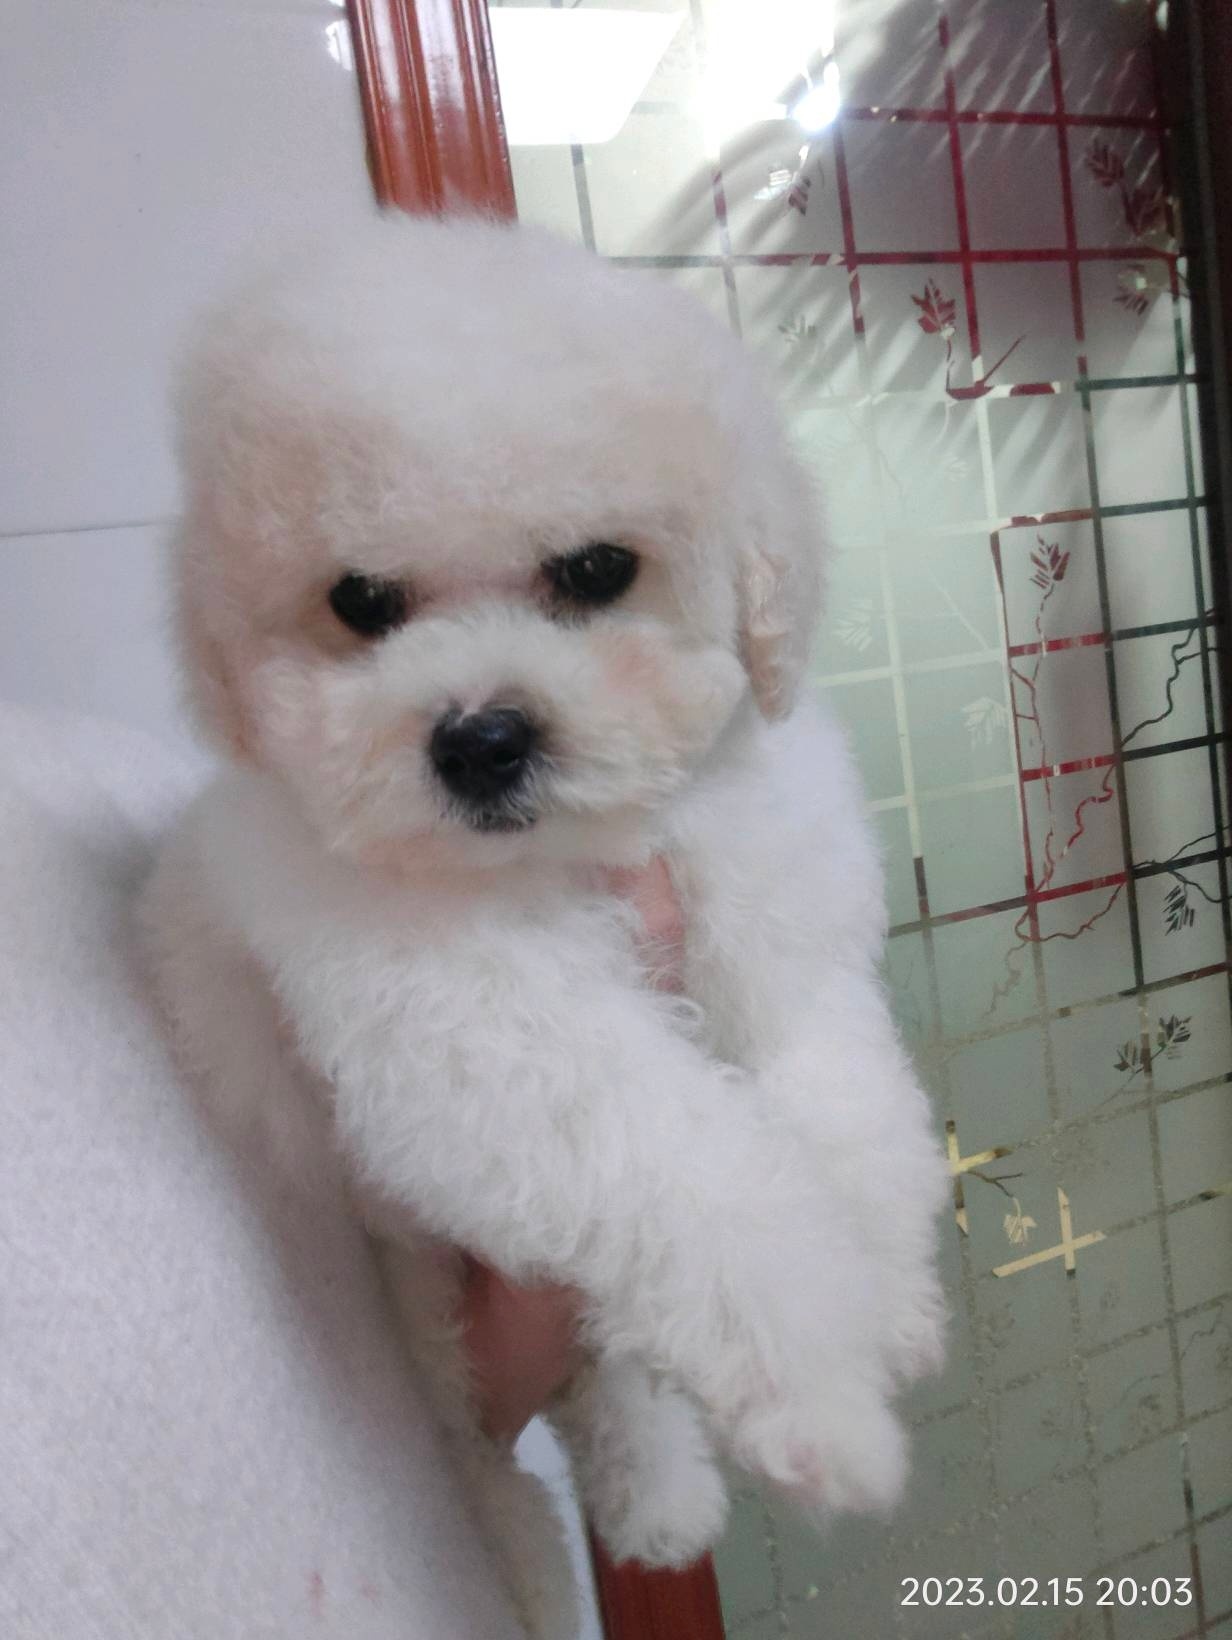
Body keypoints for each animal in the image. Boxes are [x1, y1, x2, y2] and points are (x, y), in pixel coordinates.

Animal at [141, 211, 948, 1639]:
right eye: (360, 601)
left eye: (594, 571)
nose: (479, 738)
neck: (568, 856)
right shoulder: (488, 1047)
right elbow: (689, 1175)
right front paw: (828, 1398)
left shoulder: (772, 905)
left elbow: (836, 1084)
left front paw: (890, 1291)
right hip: (414, 1294)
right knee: (500, 1430)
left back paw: (656, 1493)